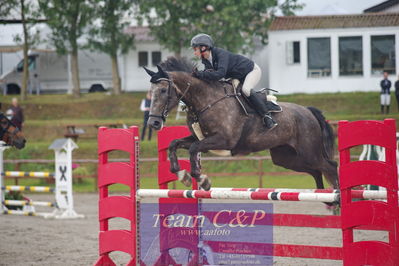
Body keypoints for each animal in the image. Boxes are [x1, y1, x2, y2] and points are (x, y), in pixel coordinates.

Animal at [144, 57, 338, 192]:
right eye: (150, 92)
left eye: (163, 90)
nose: (154, 122)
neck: (206, 100)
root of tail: (308, 111)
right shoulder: (198, 138)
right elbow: (174, 144)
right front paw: (181, 174)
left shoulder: (223, 140)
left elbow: (193, 149)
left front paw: (201, 180)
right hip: (286, 158)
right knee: (316, 171)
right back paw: (325, 200)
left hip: (309, 152)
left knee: (330, 167)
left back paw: (336, 200)